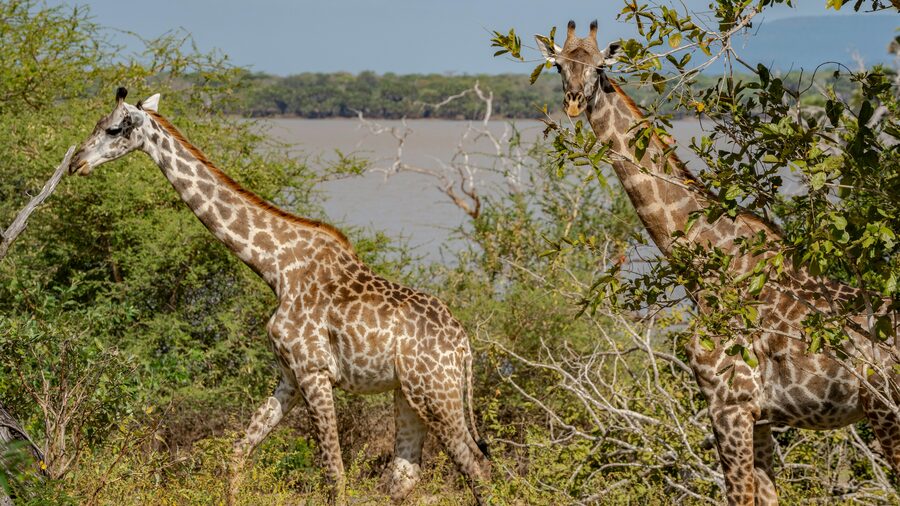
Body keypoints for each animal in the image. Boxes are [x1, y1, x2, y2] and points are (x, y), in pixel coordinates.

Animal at [69, 87, 491, 504]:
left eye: (113, 128)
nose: (75, 162)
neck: (276, 267)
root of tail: (464, 345)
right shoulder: (287, 375)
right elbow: (238, 452)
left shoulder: (313, 371)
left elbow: (334, 473)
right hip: (409, 395)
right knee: (405, 476)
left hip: (436, 393)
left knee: (476, 468)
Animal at [536, 21, 900, 505]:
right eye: (559, 65)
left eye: (599, 67)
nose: (575, 102)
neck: (712, 269)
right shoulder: (759, 415)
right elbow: (766, 496)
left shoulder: (729, 403)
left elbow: (739, 496)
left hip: (885, 410)